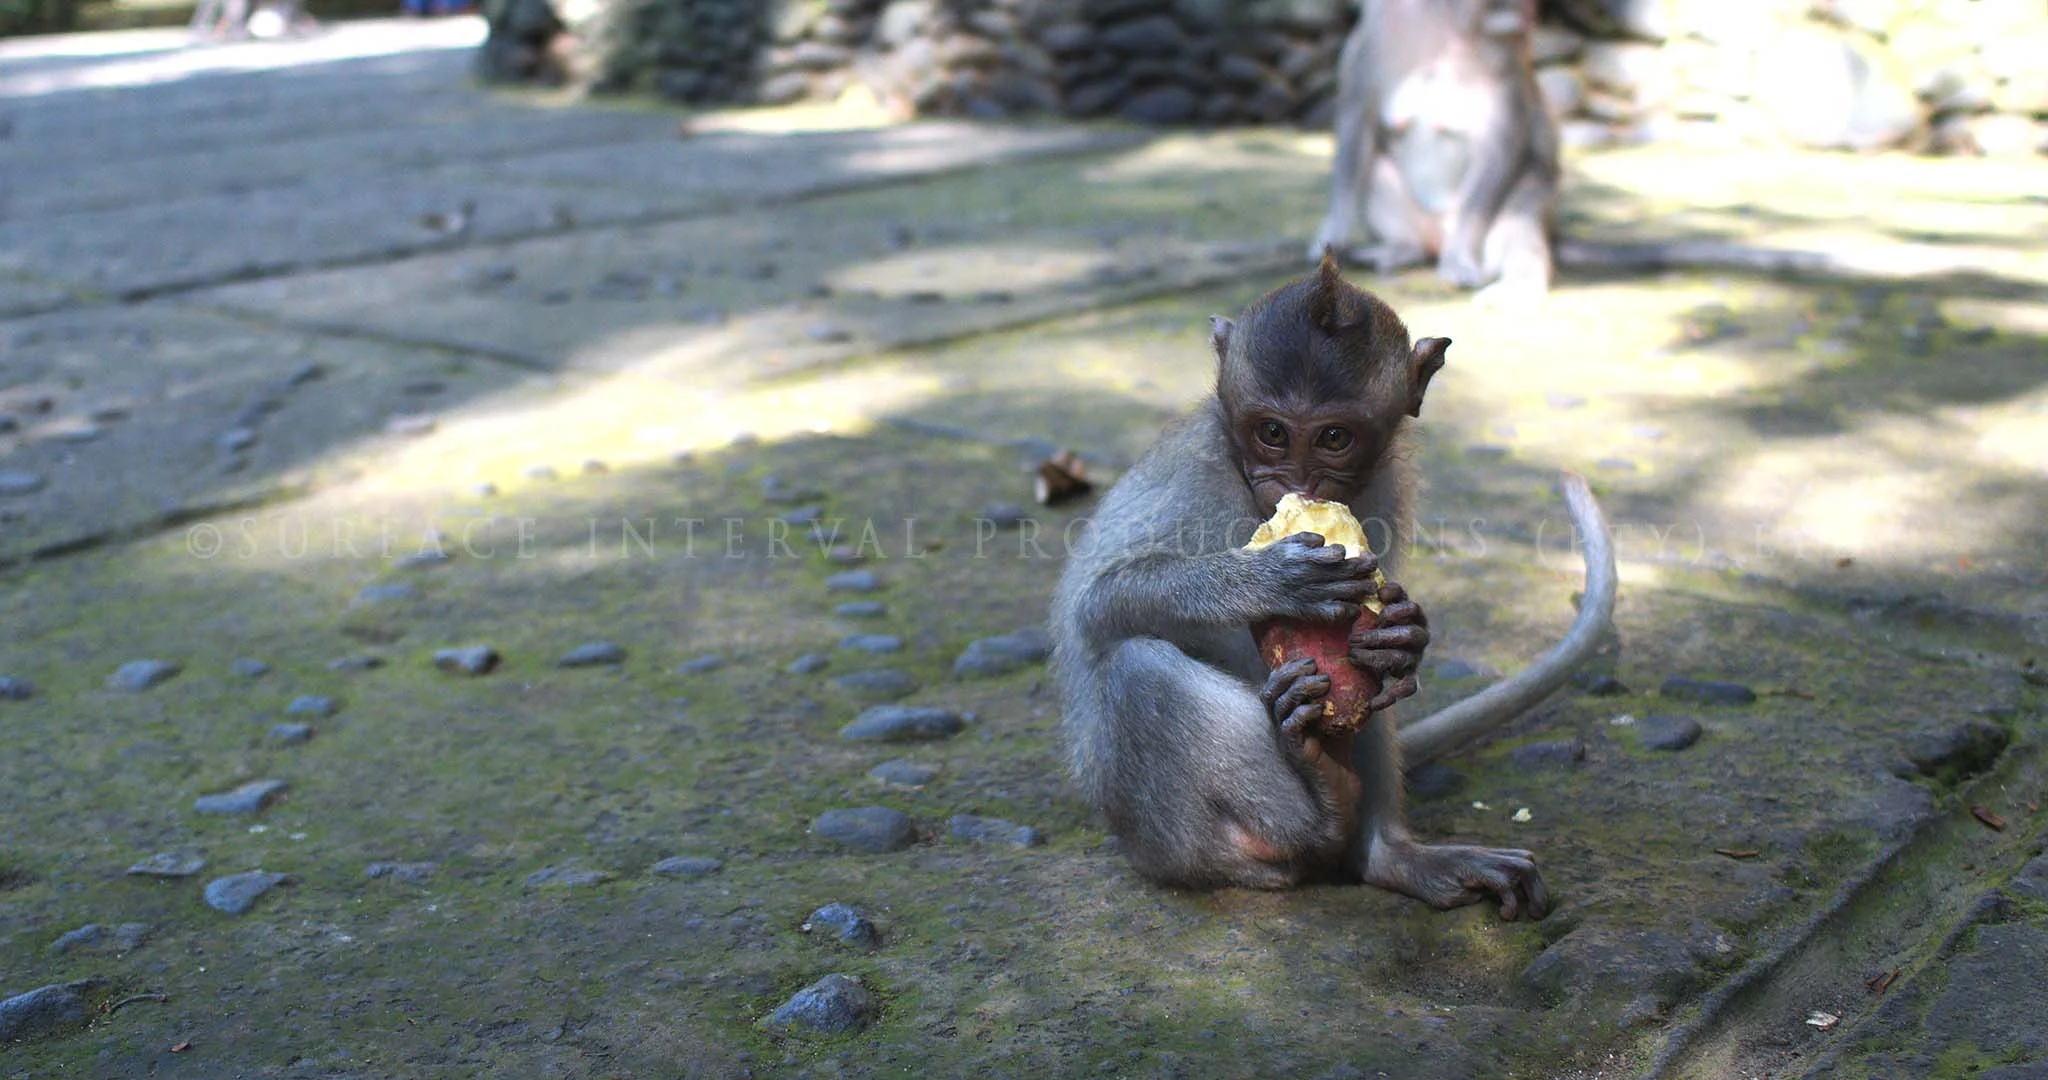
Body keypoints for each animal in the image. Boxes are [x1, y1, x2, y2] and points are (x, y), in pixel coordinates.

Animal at [1050, 253, 1616, 914]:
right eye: (1271, 432)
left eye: (1334, 438)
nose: (1296, 482)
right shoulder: (1195, 474)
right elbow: (1099, 604)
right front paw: (1271, 579)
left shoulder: (1386, 484)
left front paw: (1404, 634)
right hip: (1162, 837)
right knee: (1137, 670)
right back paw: (1316, 814)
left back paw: (1385, 851)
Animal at [1308, 0, 1560, 303]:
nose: (1528, 14)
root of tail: (1437, 237)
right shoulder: (1375, 36)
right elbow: (1357, 119)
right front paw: (1335, 229)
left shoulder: (1504, 55)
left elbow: (1497, 151)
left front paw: (1459, 258)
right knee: (1375, 171)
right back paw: (1402, 248)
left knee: (1522, 204)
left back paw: (1519, 284)